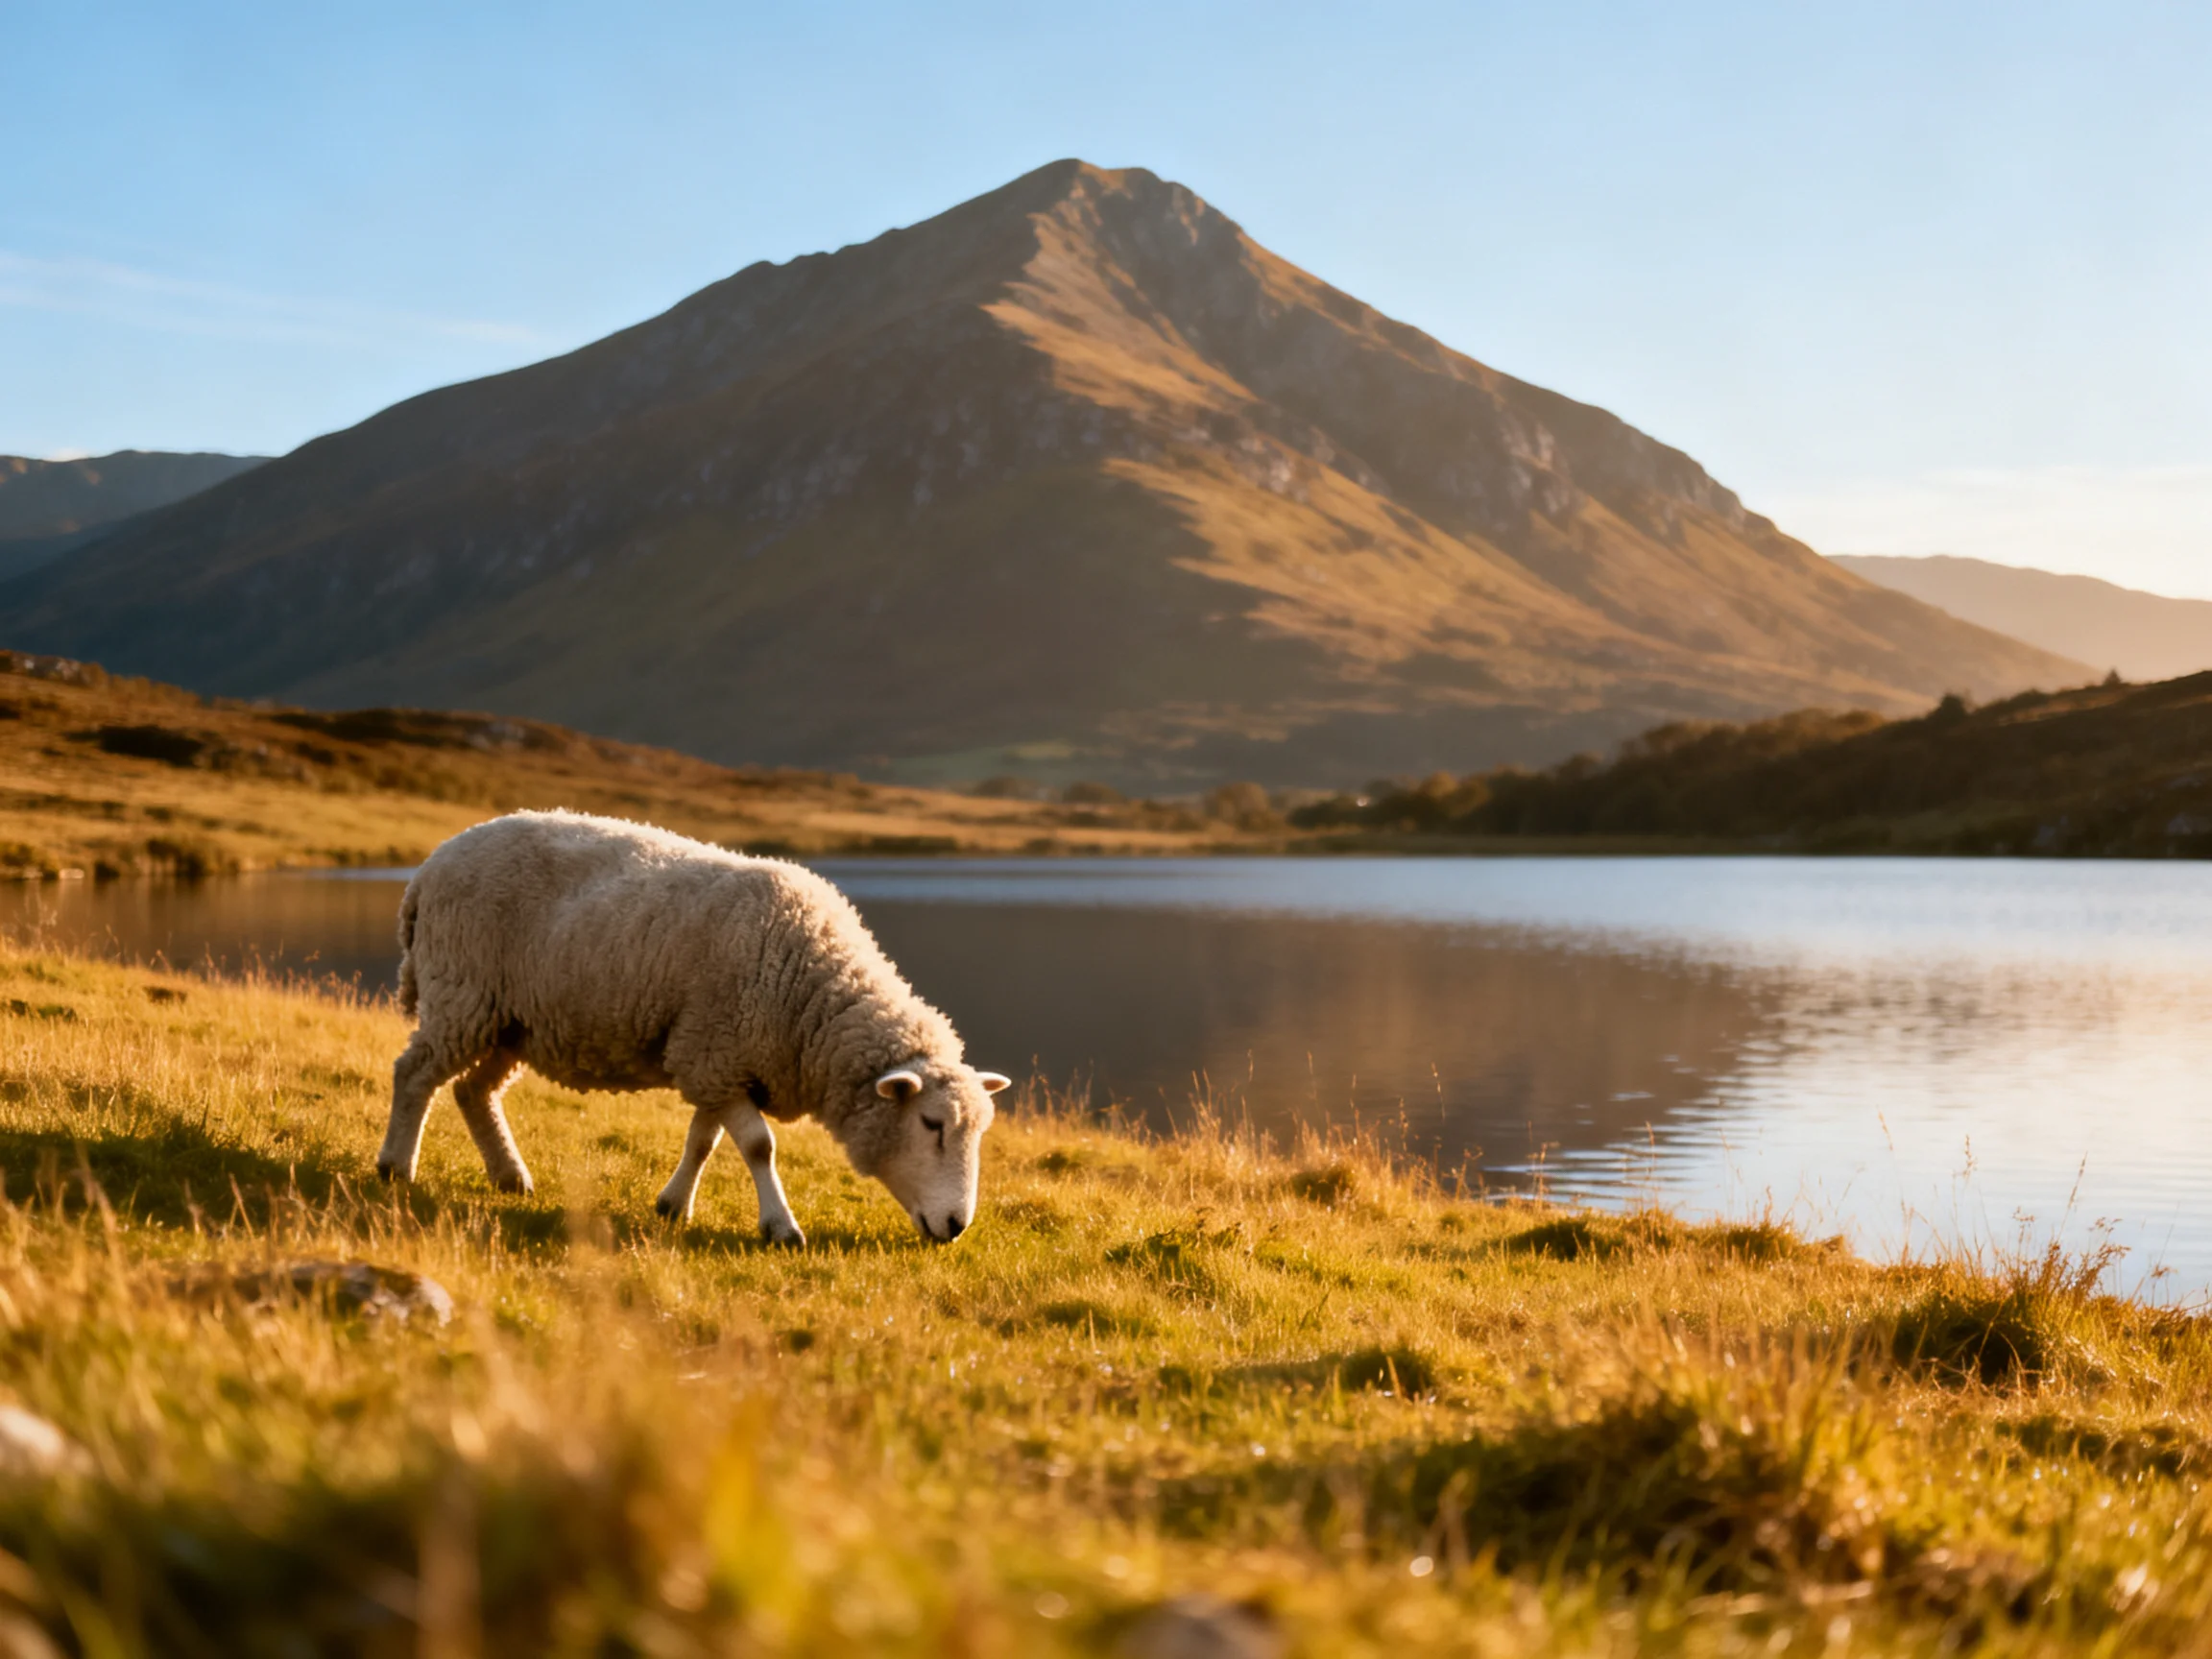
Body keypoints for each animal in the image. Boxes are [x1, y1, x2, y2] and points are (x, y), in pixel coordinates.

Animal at [374, 810, 1009, 1244]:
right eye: (931, 1124)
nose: (956, 1225)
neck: (810, 993)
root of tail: (431, 865)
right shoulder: (715, 1053)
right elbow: (758, 1145)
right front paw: (781, 1228)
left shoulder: (716, 1058)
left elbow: (704, 1140)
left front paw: (673, 1205)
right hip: (462, 992)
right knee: (414, 1074)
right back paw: (396, 1167)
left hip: (509, 1019)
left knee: (472, 1090)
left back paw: (510, 1175)